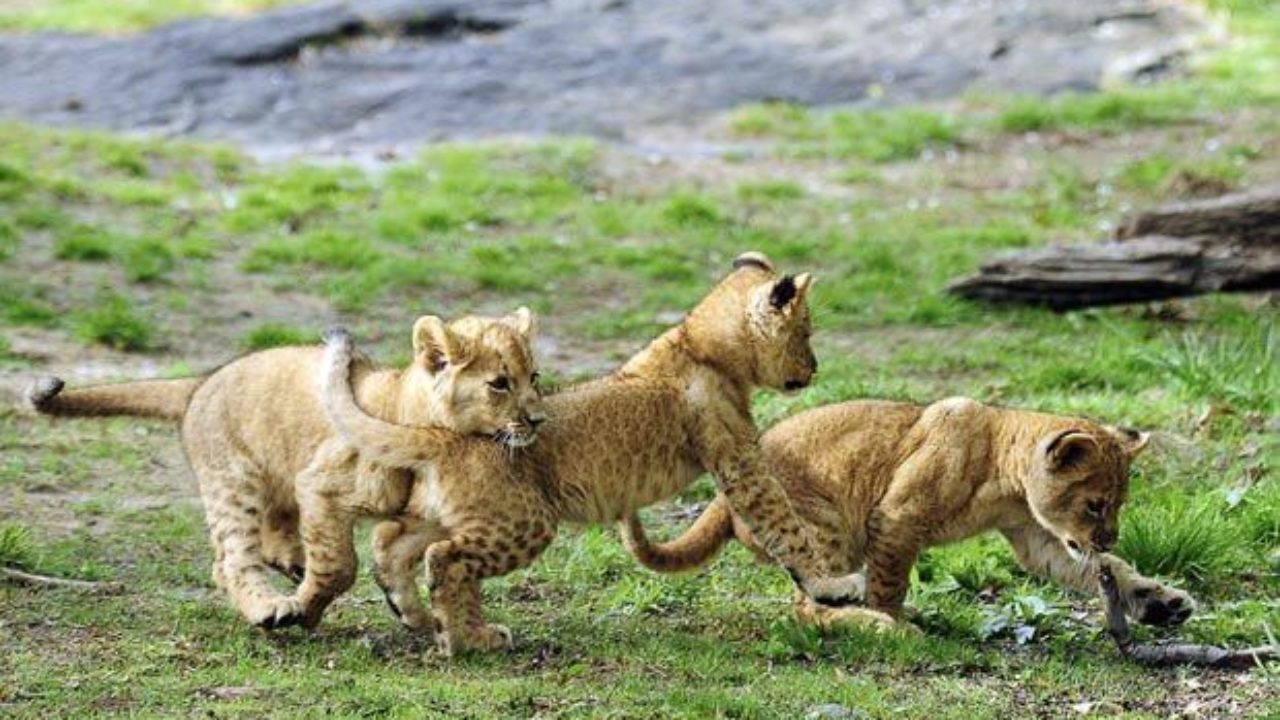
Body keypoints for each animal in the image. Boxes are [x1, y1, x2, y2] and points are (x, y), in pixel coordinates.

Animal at [26, 309, 545, 630]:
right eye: (500, 384)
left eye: (534, 377)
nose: (539, 419)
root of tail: (199, 384)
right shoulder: (320, 486)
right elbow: (340, 564)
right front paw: (306, 610)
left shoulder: (415, 513)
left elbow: (391, 552)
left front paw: (411, 612)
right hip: (234, 481)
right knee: (231, 561)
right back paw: (270, 608)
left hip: (277, 476)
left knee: (271, 535)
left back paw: (292, 566)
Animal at [316, 252, 865, 655]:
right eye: (806, 332)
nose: (814, 368)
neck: (700, 344)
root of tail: (448, 436)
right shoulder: (739, 462)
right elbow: (785, 524)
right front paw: (832, 584)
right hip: (525, 521)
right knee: (444, 559)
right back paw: (467, 641)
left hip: (460, 515)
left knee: (392, 541)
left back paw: (423, 616)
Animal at [621, 397, 1196, 632]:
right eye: (1095, 504)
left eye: (1118, 505)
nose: (1108, 535)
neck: (1002, 465)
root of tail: (721, 498)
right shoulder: (896, 518)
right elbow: (889, 582)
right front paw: (892, 619)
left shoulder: (1037, 539)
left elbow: (1108, 570)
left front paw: (1162, 603)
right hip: (824, 525)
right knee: (808, 607)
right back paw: (882, 627)